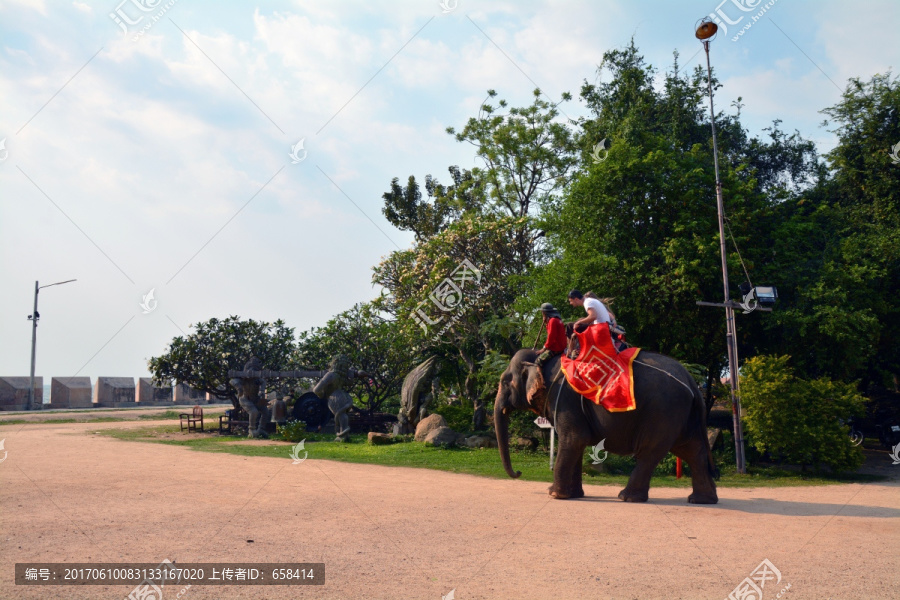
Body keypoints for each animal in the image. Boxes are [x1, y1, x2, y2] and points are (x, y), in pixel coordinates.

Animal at [492, 350, 716, 504]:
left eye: (505, 381)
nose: (519, 472)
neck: (541, 358)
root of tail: (692, 382)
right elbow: (577, 443)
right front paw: (574, 495)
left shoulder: (564, 398)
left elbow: (574, 439)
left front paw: (554, 494)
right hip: (683, 418)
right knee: (693, 452)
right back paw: (701, 500)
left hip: (664, 413)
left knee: (650, 453)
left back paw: (627, 497)